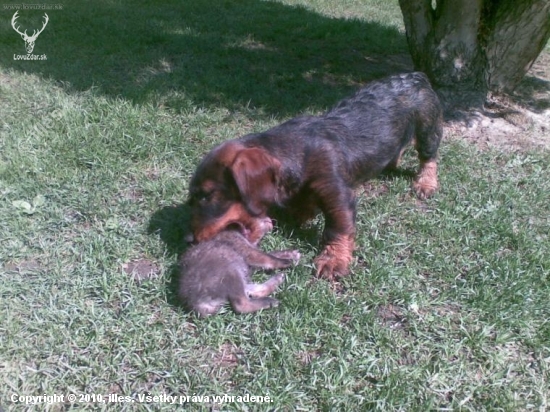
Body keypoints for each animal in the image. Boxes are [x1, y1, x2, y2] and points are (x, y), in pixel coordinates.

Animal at [189, 73, 444, 280]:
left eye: (206, 196)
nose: (188, 240)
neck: (297, 150)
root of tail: (416, 75)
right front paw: (300, 214)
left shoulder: (336, 193)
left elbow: (338, 227)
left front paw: (333, 259)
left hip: (427, 128)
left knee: (429, 158)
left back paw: (425, 183)